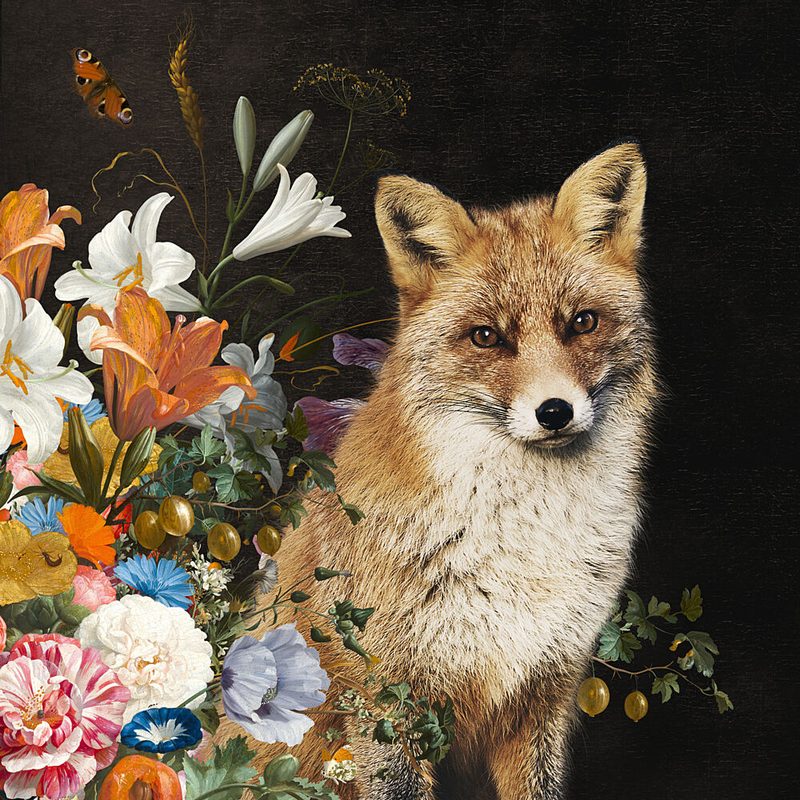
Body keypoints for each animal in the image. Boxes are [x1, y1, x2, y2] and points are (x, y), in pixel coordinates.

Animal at [218, 141, 658, 799]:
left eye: (582, 322)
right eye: (486, 336)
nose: (555, 412)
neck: (524, 547)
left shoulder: (545, 695)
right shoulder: (387, 700)